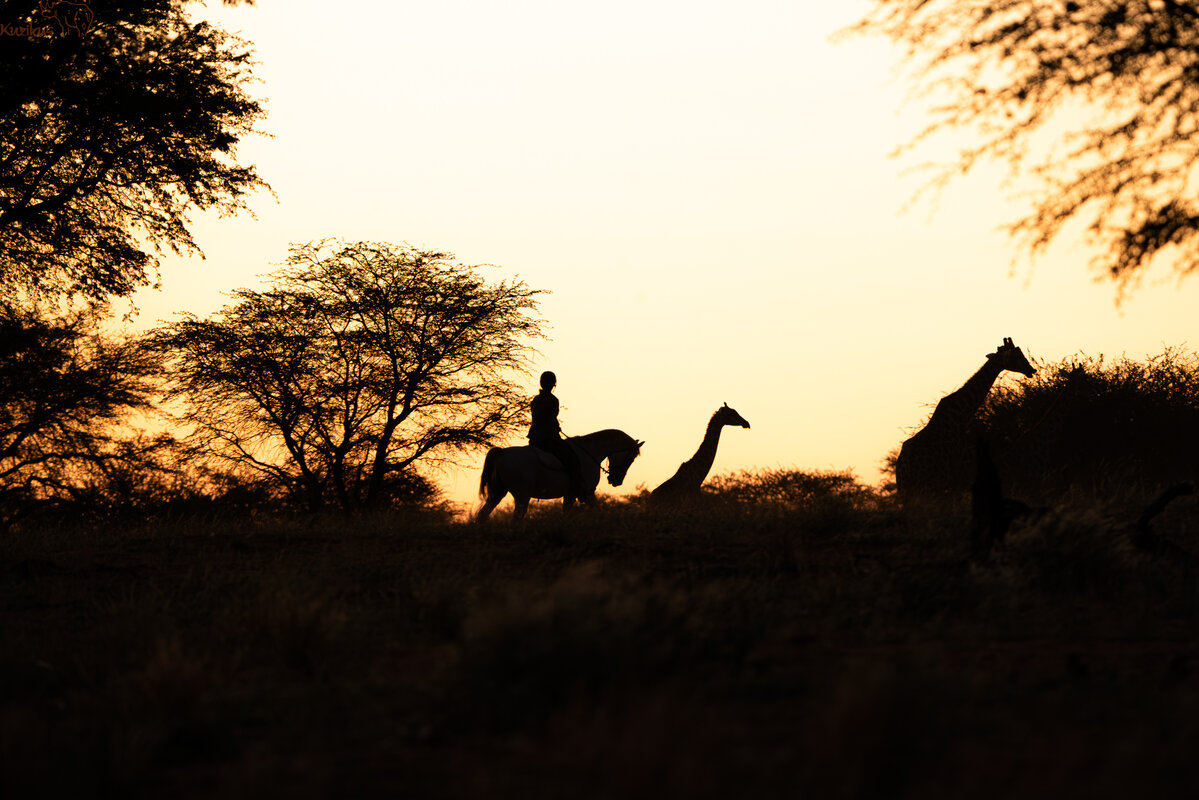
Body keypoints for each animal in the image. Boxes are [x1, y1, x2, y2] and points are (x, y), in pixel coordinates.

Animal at [895, 338, 1035, 512]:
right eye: (1017, 355)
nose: (1032, 370)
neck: (962, 413)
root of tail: (902, 468)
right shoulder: (956, 468)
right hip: (924, 484)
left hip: (911, 488)